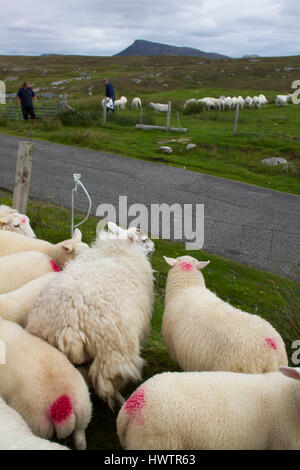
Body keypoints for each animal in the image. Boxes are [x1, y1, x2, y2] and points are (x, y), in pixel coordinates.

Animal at [25, 222, 155, 410]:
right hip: (112, 356)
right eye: (144, 240)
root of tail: (70, 325)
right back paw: (121, 400)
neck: (119, 249)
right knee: (110, 384)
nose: (154, 247)